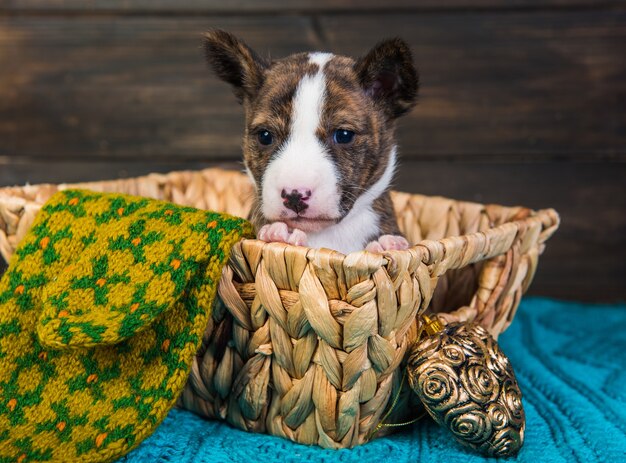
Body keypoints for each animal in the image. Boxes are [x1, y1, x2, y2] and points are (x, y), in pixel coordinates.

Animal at [205, 30, 416, 256]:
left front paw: (385, 244)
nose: (294, 196)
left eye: (344, 135)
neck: (328, 234)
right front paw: (280, 235)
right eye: (265, 136)